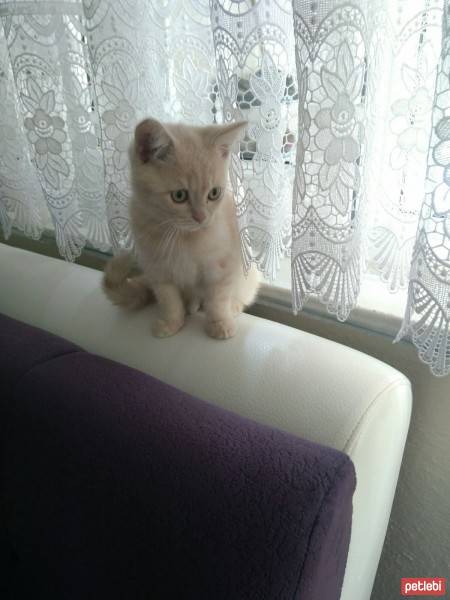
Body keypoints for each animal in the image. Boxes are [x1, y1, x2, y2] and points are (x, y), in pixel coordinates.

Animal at [103, 119, 260, 340]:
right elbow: (168, 299)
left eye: (214, 193)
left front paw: (220, 323)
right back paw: (190, 306)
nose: (201, 218)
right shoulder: (157, 269)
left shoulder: (221, 266)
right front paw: (171, 323)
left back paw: (232, 306)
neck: (183, 237)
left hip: (248, 271)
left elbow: (217, 298)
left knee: (242, 291)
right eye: (179, 196)